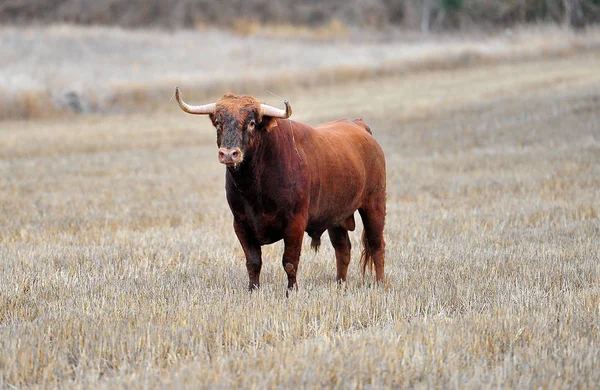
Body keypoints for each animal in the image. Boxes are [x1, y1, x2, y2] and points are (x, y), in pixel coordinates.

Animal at [176, 87, 386, 290]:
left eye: (252, 123)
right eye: (218, 122)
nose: (229, 154)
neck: (255, 189)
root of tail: (358, 125)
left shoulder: (295, 224)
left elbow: (290, 262)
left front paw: (291, 291)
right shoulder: (241, 225)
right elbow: (253, 262)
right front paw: (253, 290)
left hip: (374, 205)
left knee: (377, 245)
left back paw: (380, 284)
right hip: (336, 218)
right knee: (342, 250)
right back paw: (340, 285)